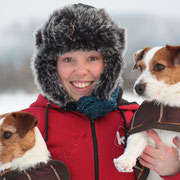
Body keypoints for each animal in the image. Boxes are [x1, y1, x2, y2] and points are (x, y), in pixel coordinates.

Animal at [114, 45, 180, 180]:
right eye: (140, 67)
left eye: (160, 66)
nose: (137, 88)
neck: (166, 103)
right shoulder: (142, 128)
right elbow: (134, 141)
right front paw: (124, 161)